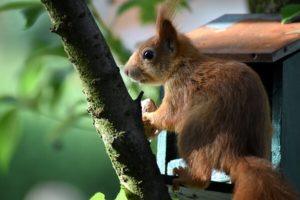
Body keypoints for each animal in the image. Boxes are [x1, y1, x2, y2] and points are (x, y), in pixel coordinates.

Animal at [123, 1, 296, 200]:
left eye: (148, 54)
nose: (126, 70)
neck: (183, 64)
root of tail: (235, 152)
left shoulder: (181, 88)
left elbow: (169, 115)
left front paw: (147, 117)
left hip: (195, 134)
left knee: (203, 177)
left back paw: (189, 177)